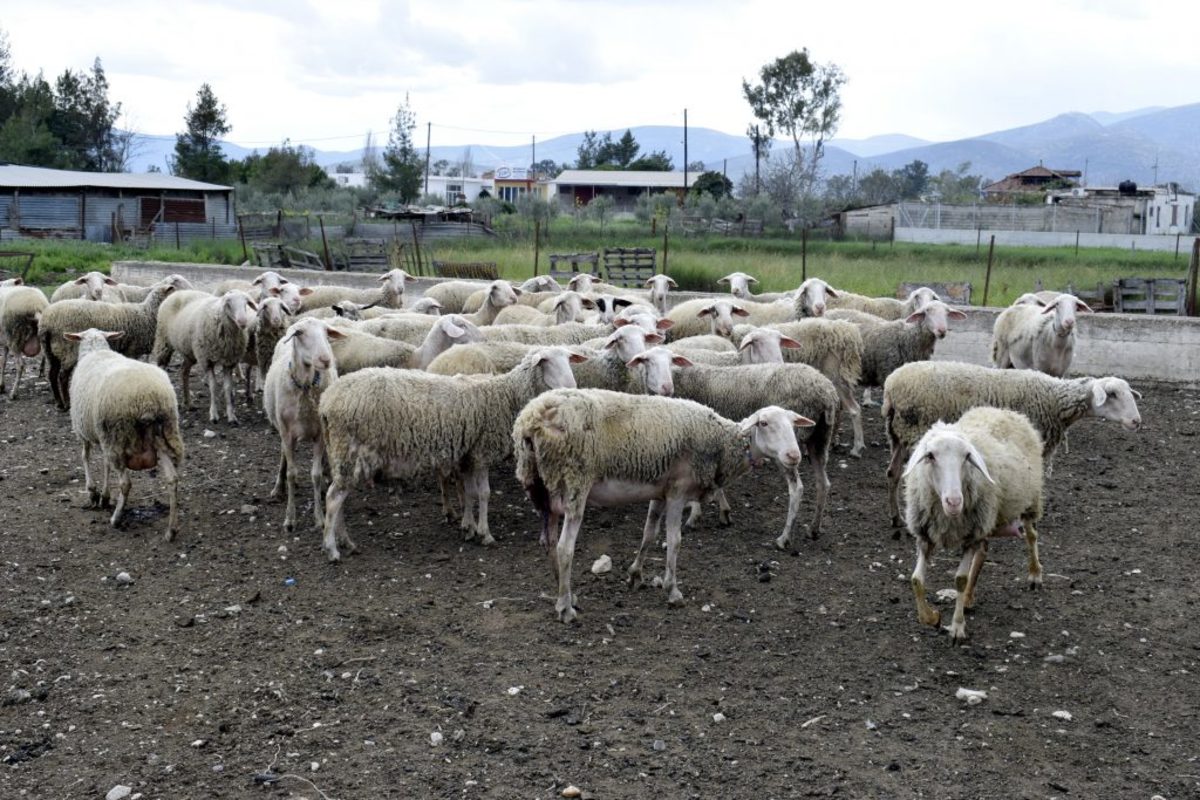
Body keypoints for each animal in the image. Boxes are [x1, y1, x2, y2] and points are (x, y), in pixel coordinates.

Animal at [65, 328, 182, 542]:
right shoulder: (102, 435)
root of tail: (147, 399)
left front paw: (94, 492)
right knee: (172, 480)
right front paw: (104, 495)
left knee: (126, 483)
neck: (95, 350)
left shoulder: (84, 431)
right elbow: (104, 464)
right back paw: (171, 530)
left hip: (117, 437)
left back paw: (116, 519)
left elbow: (85, 457)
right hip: (162, 436)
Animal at [164, 289, 258, 424]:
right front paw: (213, 414)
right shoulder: (206, 360)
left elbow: (228, 387)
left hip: (190, 353)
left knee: (184, 371)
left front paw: (231, 416)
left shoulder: (229, 361)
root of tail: (182, 291)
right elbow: (213, 387)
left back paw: (188, 403)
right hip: (163, 341)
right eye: (228, 303)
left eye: (246, 303)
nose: (243, 322)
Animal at [259, 316, 343, 532]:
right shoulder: (287, 434)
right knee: (283, 456)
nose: (325, 359)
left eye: (326, 332)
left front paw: (319, 517)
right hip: (283, 430)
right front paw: (290, 518)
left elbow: (315, 475)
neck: (305, 387)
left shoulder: (319, 434)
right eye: (301, 333)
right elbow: (291, 473)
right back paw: (278, 487)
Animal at [316, 347, 583, 561]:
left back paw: (346, 542)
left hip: (339, 451)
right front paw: (485, 533)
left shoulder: (468, 454)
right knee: (333, 498)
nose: (572, 387)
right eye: (547, 361)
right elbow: (484, 493)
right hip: (348, 449)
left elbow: (469, 492)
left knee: (339, 497)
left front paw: (468, 528)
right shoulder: (482, 452)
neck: (504, 396)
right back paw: (332, 549)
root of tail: (326, 401)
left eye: (568, 360)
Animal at [883, 362, 1142, 532]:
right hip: (915, 430)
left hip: (897, 435)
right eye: (1112, 394)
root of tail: (891, 387)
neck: (1054, 401)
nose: (1136, 421)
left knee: (892, 473)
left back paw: (896, 518)